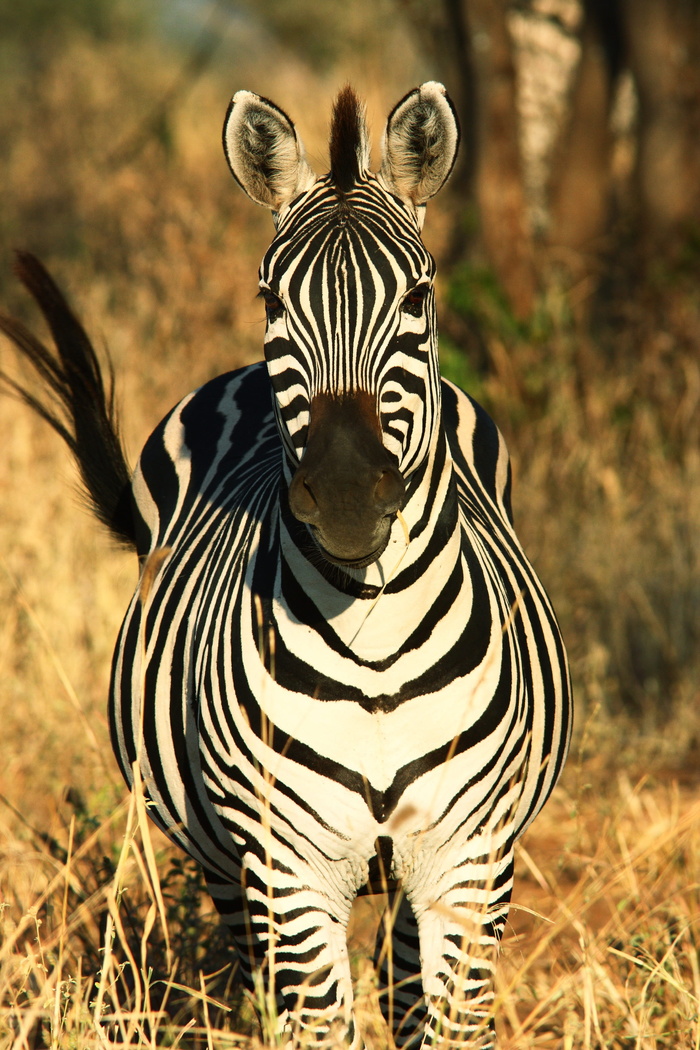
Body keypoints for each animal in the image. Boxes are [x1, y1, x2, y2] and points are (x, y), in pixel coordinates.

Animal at [0, 84, 570, 1050]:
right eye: (270, 297)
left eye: (419, 294)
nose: (342, 496)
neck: (376, 646)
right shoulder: (286, 874)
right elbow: (313, 1024)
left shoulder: (467, 863)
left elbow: (448, 1024)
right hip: (224, 867)